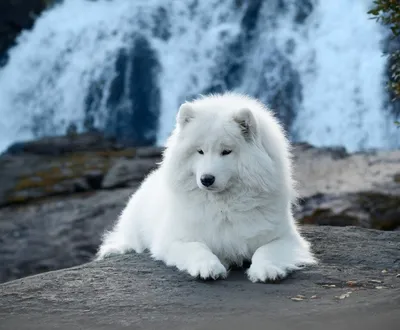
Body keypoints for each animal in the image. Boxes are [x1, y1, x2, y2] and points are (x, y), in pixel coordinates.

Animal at [97, 92, 316, 282]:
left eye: (226, 151)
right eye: (200, 151)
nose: (206, 179)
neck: (224, 205)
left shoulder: (286, 238)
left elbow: (266, 250)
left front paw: (266, 269)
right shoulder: (174, 239)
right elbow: (197, 248)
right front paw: (209, 267)